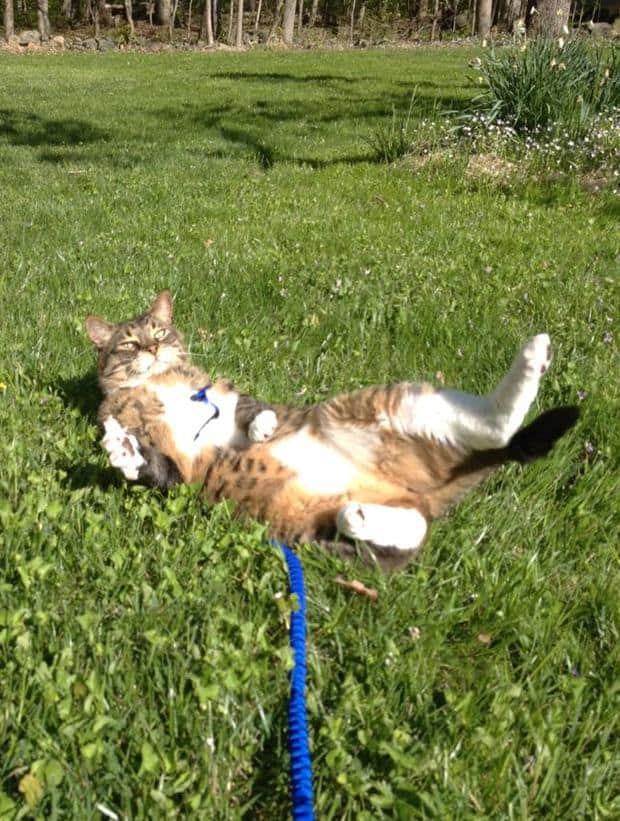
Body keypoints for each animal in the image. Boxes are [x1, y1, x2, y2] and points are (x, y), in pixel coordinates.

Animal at [87, 291, 579, 570]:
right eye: (129, 342)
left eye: (160, 332)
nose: (151, 349)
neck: (157, 383)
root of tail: (423, 489)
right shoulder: (183, 474)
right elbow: (157, 466)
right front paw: (124, 452)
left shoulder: (222, 395)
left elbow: (248, 407)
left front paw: (262, 425)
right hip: (319, 536)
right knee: (410, 531)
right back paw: (359, 517)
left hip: (375, 406)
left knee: (497, 429)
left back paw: (532, 358)